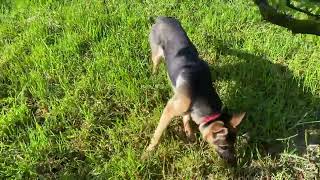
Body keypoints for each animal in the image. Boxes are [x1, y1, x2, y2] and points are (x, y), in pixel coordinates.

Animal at [144, 16, 245, 165]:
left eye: (234, 143)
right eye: (224, 146)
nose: (234, 162)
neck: (201, 94)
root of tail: (162, 18)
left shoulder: (187, 108)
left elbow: (186, 117)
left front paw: (190, 134)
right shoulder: (169, 109)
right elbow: (157, 134)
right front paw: (148, 152)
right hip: (156, 54)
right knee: (155, 65)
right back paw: (154, 77)